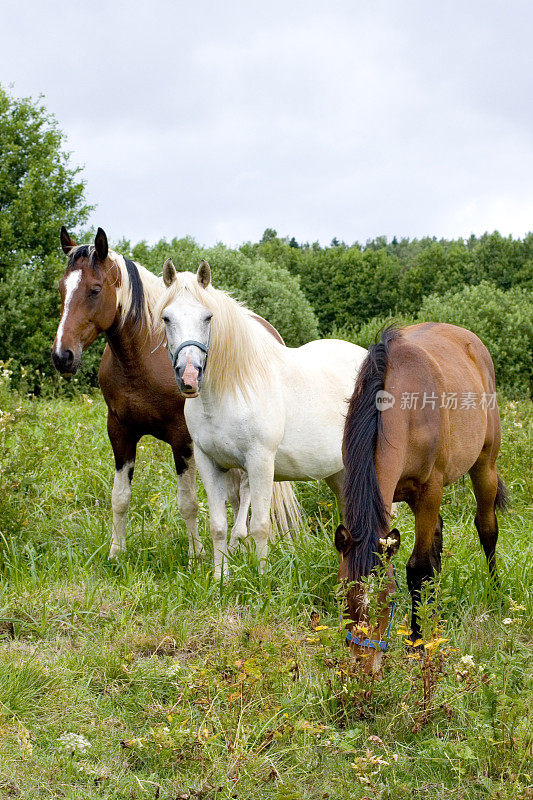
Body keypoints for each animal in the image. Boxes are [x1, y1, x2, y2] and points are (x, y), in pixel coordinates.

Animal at [52, 228, 294, 560]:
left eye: (95, 290)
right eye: (62, 289)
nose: (62, 356)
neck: (143, 358)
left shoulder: (183, 438)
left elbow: (188, 502)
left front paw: (196, 557)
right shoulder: (120, 431)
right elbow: (120, 497)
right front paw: (116, 554)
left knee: (245, 491)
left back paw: (236, 541)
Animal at [156, 260, 368, 580]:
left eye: (208, 317)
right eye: (167, 318)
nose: (189, 376)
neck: (230, 392)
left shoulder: (260, 463)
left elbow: (258, 526)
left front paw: (261, 578)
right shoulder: (209, 463)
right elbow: (218, 526)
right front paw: (219, 580)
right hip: (339, 471)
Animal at [336, 322, 508, 672]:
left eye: (387, 600)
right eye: (344, 597)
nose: (363, 668)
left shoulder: (430, 490)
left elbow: (419, 568)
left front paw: (416, 645)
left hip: (485, 466)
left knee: (487, 528)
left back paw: (496, 593)